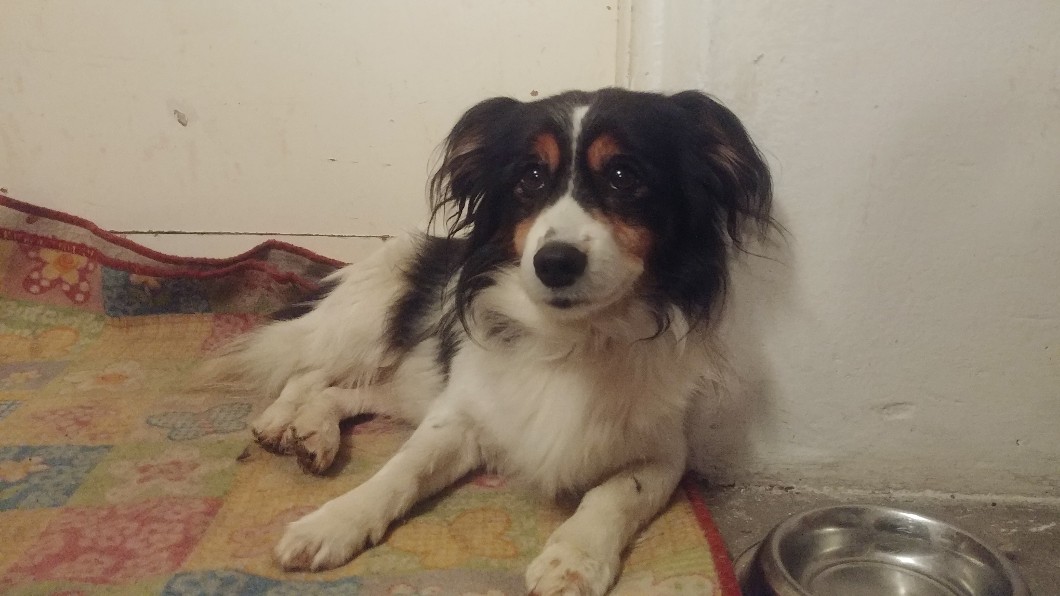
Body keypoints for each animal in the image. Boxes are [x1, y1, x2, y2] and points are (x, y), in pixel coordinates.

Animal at [200, 88, 772, 595]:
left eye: (623, 176)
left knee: (348, 392)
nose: (555, 263)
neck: (572, 338)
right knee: (308, 370)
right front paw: (334, 522)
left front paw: (573, 562)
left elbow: (613, 495)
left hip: (410, 377)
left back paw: (314, 432)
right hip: (371, 314)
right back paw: (279, 420)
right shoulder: (459, 415)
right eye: (531, 176)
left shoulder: (664, 455)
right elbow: (401, 471)